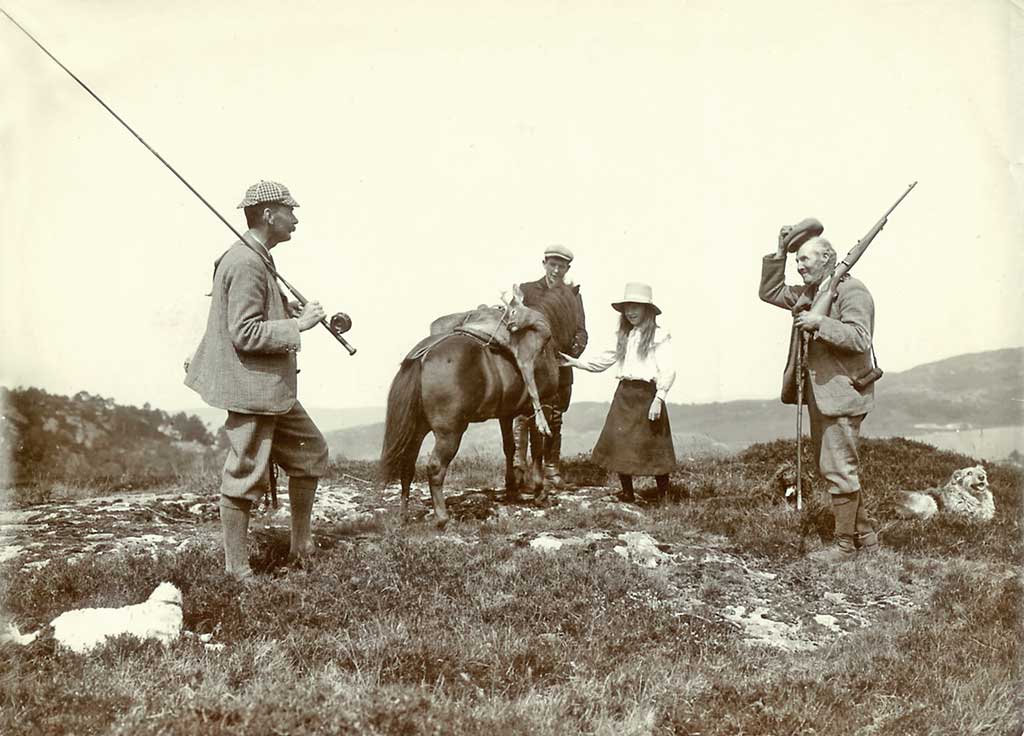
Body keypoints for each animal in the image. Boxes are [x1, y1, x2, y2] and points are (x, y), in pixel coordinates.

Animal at [380, 280, 581, 524]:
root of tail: (423, 355)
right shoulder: (542, 405)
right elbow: (538, 448)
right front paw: (540, 492)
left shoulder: (506, 414)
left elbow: (510, 447)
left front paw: (512, 488)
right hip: (450, 432)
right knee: (435, 467)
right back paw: (442, 518)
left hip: (418, 428)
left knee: (407, 464)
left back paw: (403, 514)